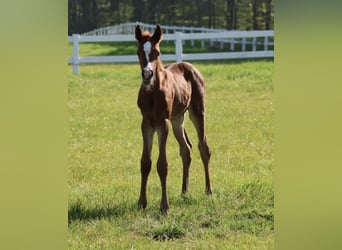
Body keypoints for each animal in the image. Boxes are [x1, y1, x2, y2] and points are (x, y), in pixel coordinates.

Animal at [134, 24, 211, 214]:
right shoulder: (146, 123)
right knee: (186, 149)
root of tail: (189, 66)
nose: (147, 74)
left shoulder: (163, 123)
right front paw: (141, 203)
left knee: (203, 147)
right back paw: (184, 191)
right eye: (139, 52)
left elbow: (162, 165)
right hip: (178, 119)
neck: (152, 93)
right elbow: (145, 163)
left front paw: (164, 207)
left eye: (157, 52)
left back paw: (208, 190)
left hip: (197, 112)